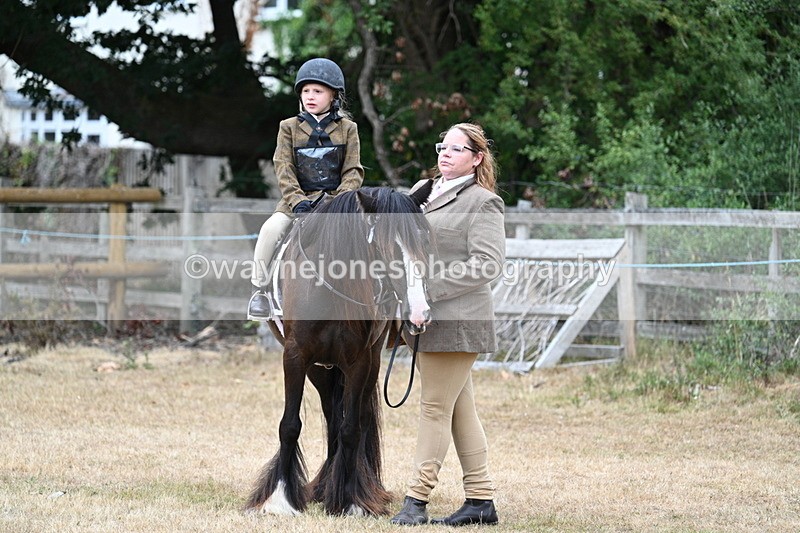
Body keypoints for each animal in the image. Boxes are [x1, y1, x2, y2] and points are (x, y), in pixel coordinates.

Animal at [245, 181, 434, 517]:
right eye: (385, 247)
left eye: (425, 240)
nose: (419, 313)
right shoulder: (295, 357)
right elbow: (290, 425)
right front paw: (280, 499)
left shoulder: (360, 362)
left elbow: (351, 429)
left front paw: (350, 501)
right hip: (320, 369)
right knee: (331, 416)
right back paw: (322, 488)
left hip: (362, 365)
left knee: (352, 420)